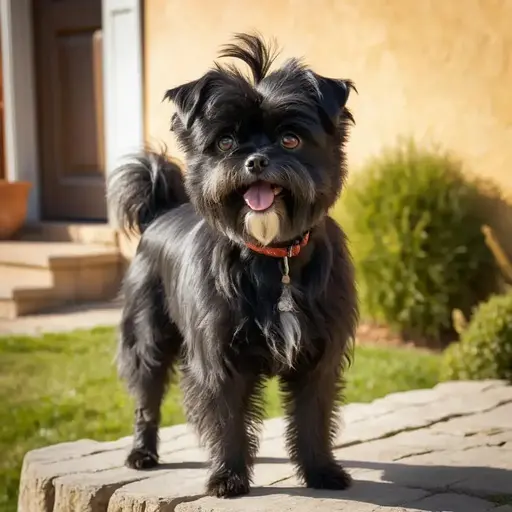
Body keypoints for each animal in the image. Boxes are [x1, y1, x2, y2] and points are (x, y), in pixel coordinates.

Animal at [107, 34, 356, 498]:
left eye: (291, 140)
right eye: (224, 143)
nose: (255, 159)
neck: (274, 259)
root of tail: (159, 213)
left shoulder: (319, 355)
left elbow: (312, 418)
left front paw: (321, 472)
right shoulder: (219, 358)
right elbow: (227, 420)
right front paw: (227, 477)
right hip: (147, 339)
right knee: (147, 401)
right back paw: (142, 453)